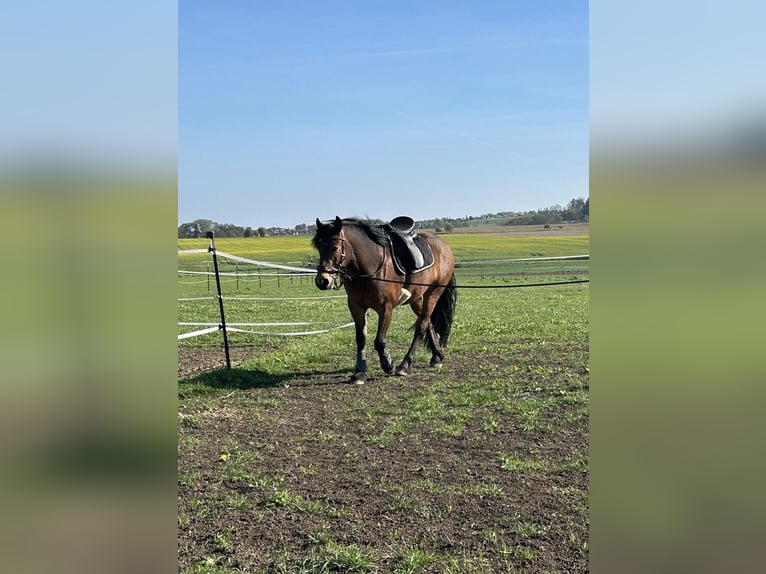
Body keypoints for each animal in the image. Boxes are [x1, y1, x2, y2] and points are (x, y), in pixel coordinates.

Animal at [313, 216, 457, 384]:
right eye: (319, 247)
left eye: (335, 247)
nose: (322, 281)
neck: (370, 266)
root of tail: (443, 245)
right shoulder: (356, 306)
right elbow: (361, 339)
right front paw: (359, 372)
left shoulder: (386, 308)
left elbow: (379, 341)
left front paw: (388, 364)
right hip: (417, 298)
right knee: (428, 323)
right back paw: (437, 357)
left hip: (432, 295)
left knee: (421, 327)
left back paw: (405, 365)